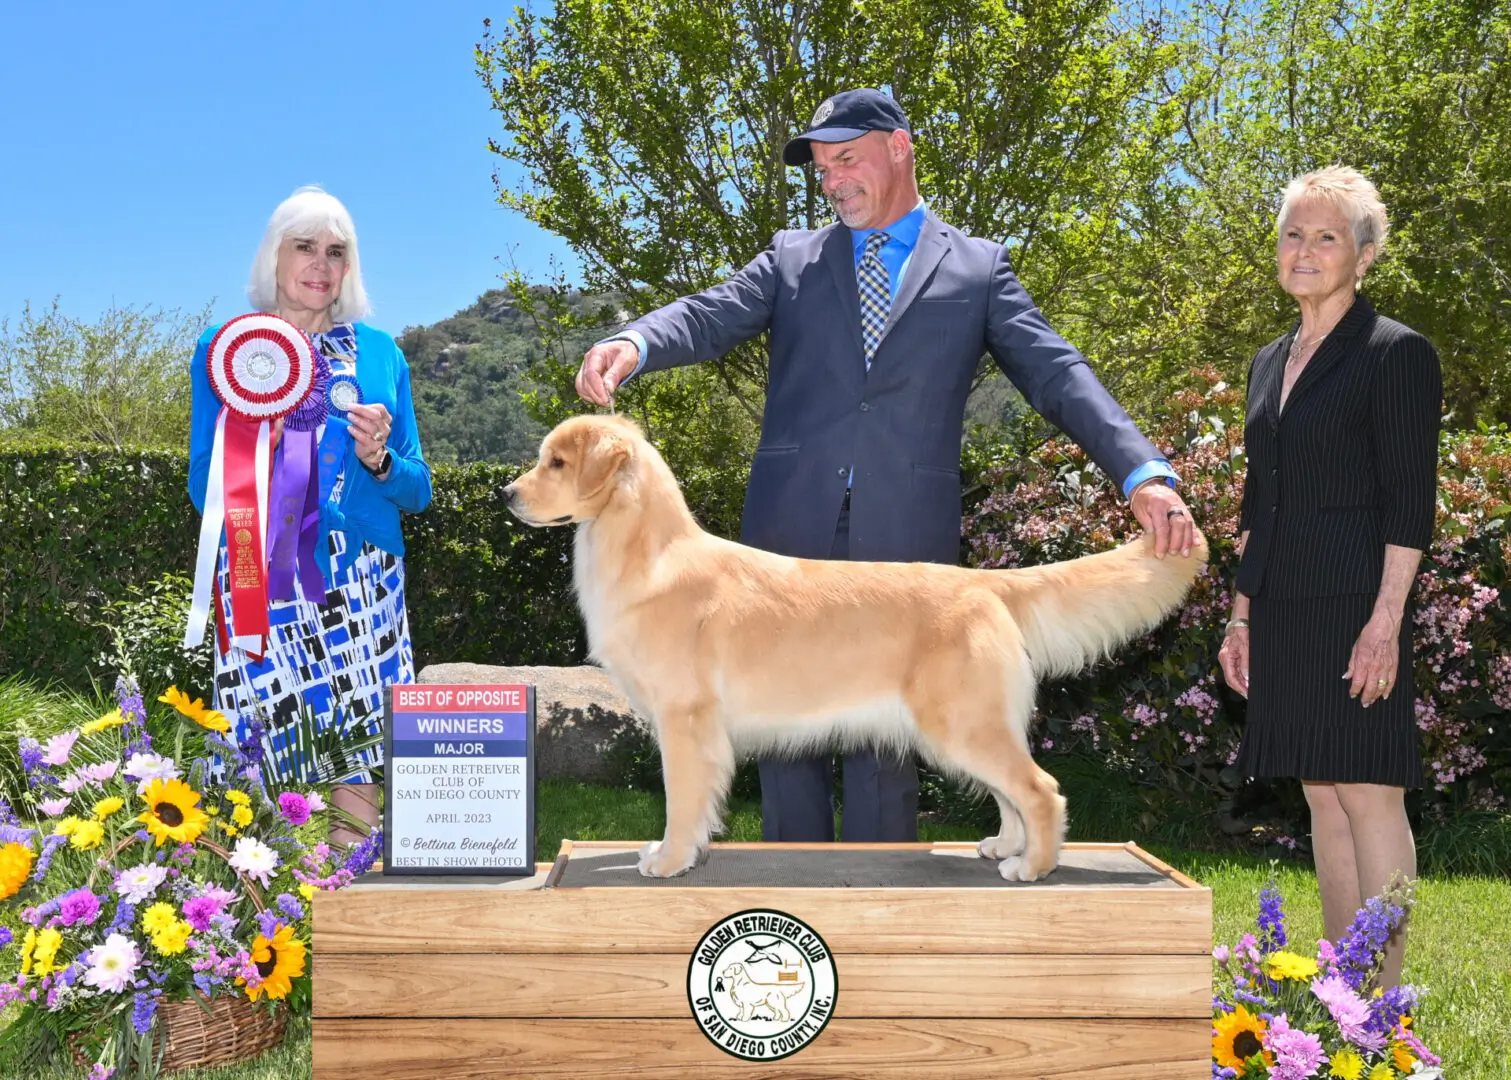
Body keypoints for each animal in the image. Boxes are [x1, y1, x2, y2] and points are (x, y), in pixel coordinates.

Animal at [504, 413, 1202, 876]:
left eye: (556, 463)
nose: (505, 494)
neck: (647, 554)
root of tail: (984, 583)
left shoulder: (684, 719)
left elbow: (683, 800)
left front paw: (671, 859)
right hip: (971, 724)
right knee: (1012, 793)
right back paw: (1006, 846)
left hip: (960, 722)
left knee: (1039, 789)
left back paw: (1032, 866)